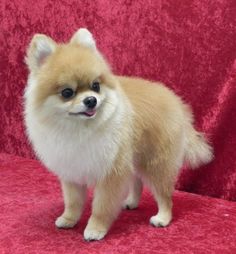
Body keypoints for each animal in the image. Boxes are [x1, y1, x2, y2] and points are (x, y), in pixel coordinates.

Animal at [24, 28, 214, 241]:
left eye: (96, 86)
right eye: (67, 92)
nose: (91, 100)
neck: (80, 128)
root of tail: (177, 103)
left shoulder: (111, 172)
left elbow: (102, 206)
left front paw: (95, 229)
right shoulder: (73, 170)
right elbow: (73, 201)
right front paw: (68, 219)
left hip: (155, 163)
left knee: (164, 194)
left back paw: (162, 218)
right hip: (134, 157)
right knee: (137, 182)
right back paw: (132, 202)